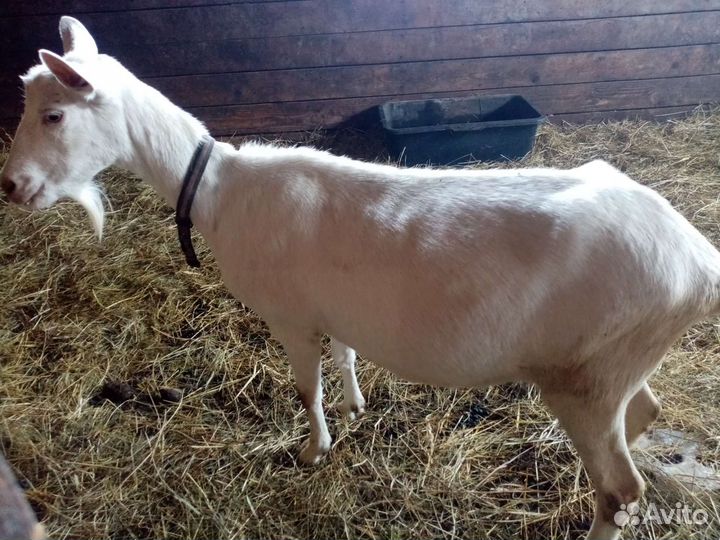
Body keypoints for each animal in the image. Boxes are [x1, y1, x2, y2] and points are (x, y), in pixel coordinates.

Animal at [3, 17, 720, 540]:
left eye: (54, 115)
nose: (11, 186)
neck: (218, 188)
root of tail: (698, 259)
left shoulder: (289, 316)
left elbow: (305, 388)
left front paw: (312, 451)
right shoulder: (333, 311)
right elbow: (345, 358)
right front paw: (354, 408)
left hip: (585, 379)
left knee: (618, 489)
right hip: (615, 362)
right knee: (644, 414)